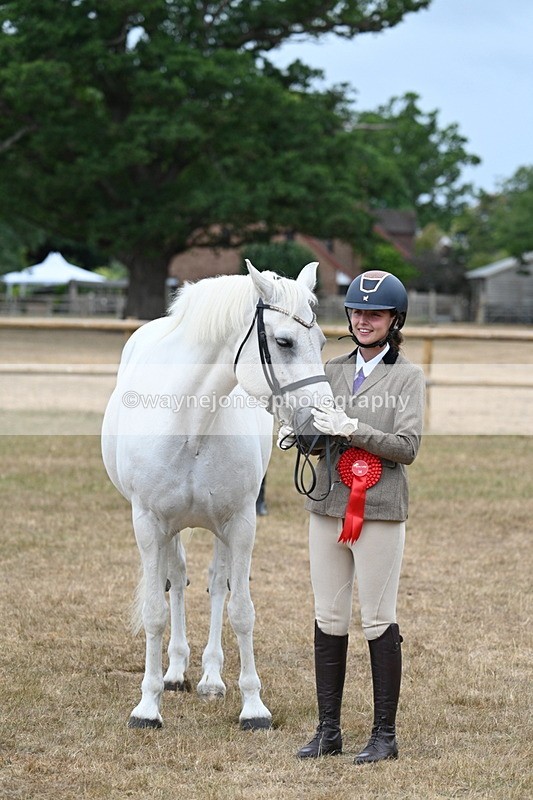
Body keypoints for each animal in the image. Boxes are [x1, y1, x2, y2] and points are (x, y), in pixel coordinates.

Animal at [101, 260, 334, 730]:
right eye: (284, 341)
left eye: (320, 341)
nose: (319, 432)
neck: (191, 422)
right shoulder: (149, 525)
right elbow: (155, 610)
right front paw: (147, 706)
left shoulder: (240, 524)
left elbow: (240, 609)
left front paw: (254, 707)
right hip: (170, 529)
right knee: (176, 580)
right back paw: (174, 672)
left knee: (215, 584)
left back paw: (210, 677)